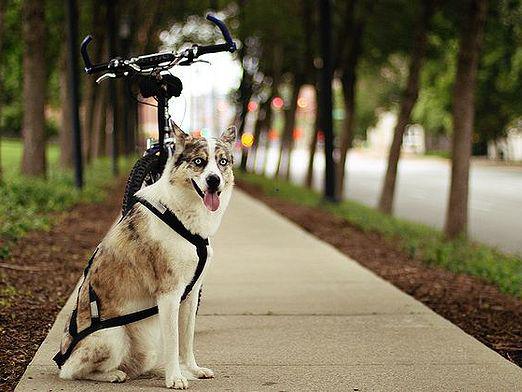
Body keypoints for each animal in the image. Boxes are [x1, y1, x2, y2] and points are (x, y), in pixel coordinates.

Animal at [55, 125, 235, 388]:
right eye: (199, 161)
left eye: (222, 162)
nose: (214, 180)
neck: (179, 213)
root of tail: (63, 355)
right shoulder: (169, 294)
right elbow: (173, 342)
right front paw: (175, 378)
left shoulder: (190, 295)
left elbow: (187, 339)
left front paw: (192, 369)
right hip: (113, 336)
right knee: (73, 371)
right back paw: (113, 375)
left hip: (144, 349)